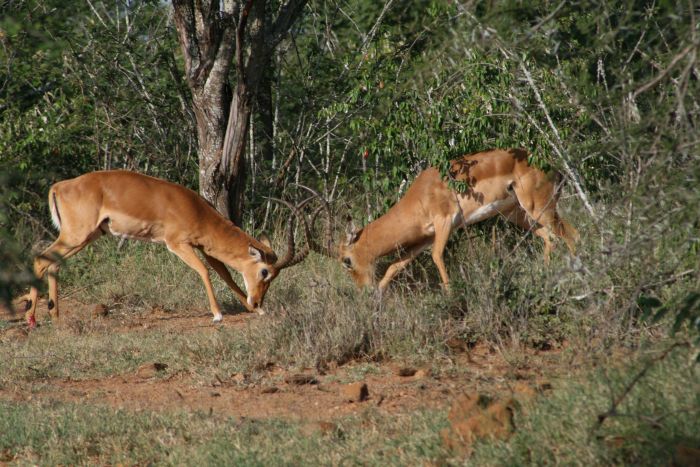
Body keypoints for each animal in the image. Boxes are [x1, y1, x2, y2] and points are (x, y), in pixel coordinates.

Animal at [21, 170, 308, 328]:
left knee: (52, 264)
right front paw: (217, 315)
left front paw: (255, 310)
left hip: (85, 237)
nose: (258, 300)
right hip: (76, 235)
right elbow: (204, 272)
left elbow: (225, 274)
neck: (195, 209)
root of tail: (59, 186)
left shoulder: (204, 247)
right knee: (40, 260)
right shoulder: (177, 244)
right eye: (264, 272)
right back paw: (32, 319)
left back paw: (55, 317)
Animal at [308, 148, 576, 292]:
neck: (421, 195)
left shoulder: (445, 222)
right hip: (519, 214)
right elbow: (395, 266)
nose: (363, 290)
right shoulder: (423, 238)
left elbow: (437, 256)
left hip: (539, 208)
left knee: (572, 234)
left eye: (346, 260)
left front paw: (450, 294)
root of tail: (554, 167)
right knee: (550, 238)